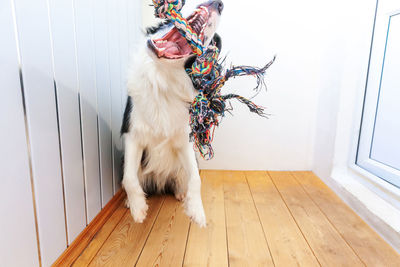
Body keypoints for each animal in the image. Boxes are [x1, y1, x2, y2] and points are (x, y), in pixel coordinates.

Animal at [120, 0, 223, 227]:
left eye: (214, 44)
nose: (219, 4)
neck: (163, 79)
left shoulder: (185, 140)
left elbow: (196, 178)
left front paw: (197, 211)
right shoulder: (132, 134)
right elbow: (129, 178)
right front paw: (138, 208)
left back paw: (181, 193)